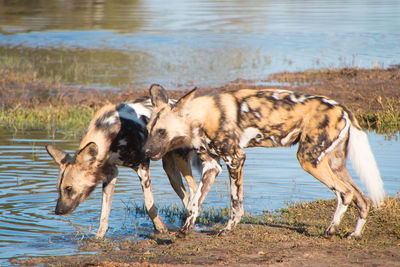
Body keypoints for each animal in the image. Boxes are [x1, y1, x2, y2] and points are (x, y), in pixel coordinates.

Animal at [45, 99, 200, 239]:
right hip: (171, 173)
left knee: (193, 190)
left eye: (69, 188)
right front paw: (98, 239)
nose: (57, 211)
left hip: (181, 162)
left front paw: (161, 229)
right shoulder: (111, 174)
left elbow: (149, 205)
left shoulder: (142, 166)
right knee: (186, 197)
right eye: (59, 189)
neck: (112, 135)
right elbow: (104, 215)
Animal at [144, 86, 384, 241]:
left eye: (162, 132)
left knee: (346, 194)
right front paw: (185, 230)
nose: (145, 151)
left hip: (309, 160)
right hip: (333, 164)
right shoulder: (213, 166)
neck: (199, 118)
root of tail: (341, 107)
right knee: (362, 198)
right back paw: (354, 234)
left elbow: (235, 204)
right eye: (148, 131)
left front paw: (228, 230)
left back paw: (330, 231)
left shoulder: (235, 160)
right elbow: (194, 202)